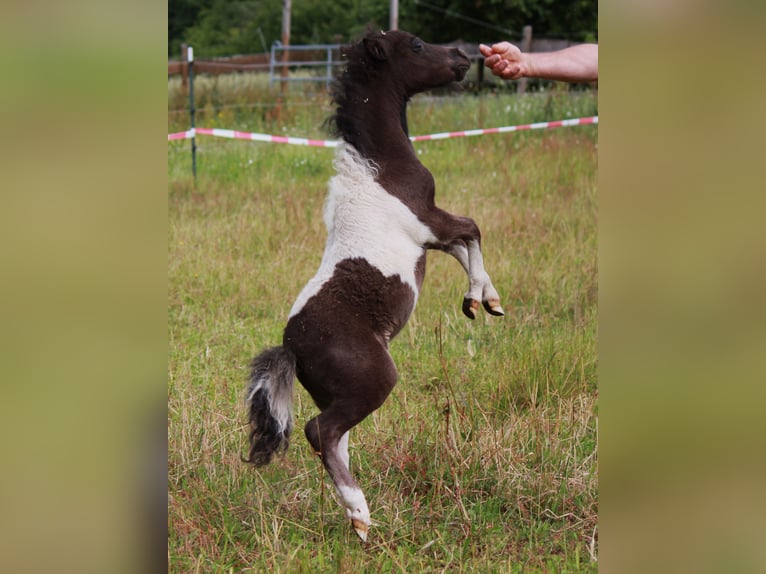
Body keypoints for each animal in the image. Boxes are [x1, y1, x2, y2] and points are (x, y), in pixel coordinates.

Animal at [244, 30, 504, 544]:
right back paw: (360, 510)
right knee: (319, 432)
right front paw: (486, 299)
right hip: (374, 380)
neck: (379, 164)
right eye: (418, 46)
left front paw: (475, 301)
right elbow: (472, 231)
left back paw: (358, 523)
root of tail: (291, 346)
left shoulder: (431, 236)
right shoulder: (428, 222)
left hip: (342, 394)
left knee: (334, 441)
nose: (463, 57)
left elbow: (464, 246)